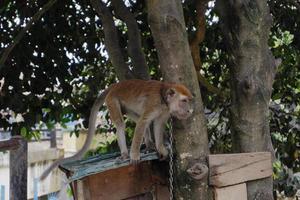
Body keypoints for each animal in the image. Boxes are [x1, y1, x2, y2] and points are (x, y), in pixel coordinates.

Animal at [39, 79, 193, 180]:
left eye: (188, 101)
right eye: (184, 101)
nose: (189, 110)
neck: (163, 99)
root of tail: (115, 85)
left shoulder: (165, 111)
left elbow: (157, 125)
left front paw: (162, 149)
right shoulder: (153, 103)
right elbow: (144, 122)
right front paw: (134, 155)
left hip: (125, 106)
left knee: (137, 119)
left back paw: (149, 145)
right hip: (112, 100)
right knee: (123, 124)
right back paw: (126, 153)